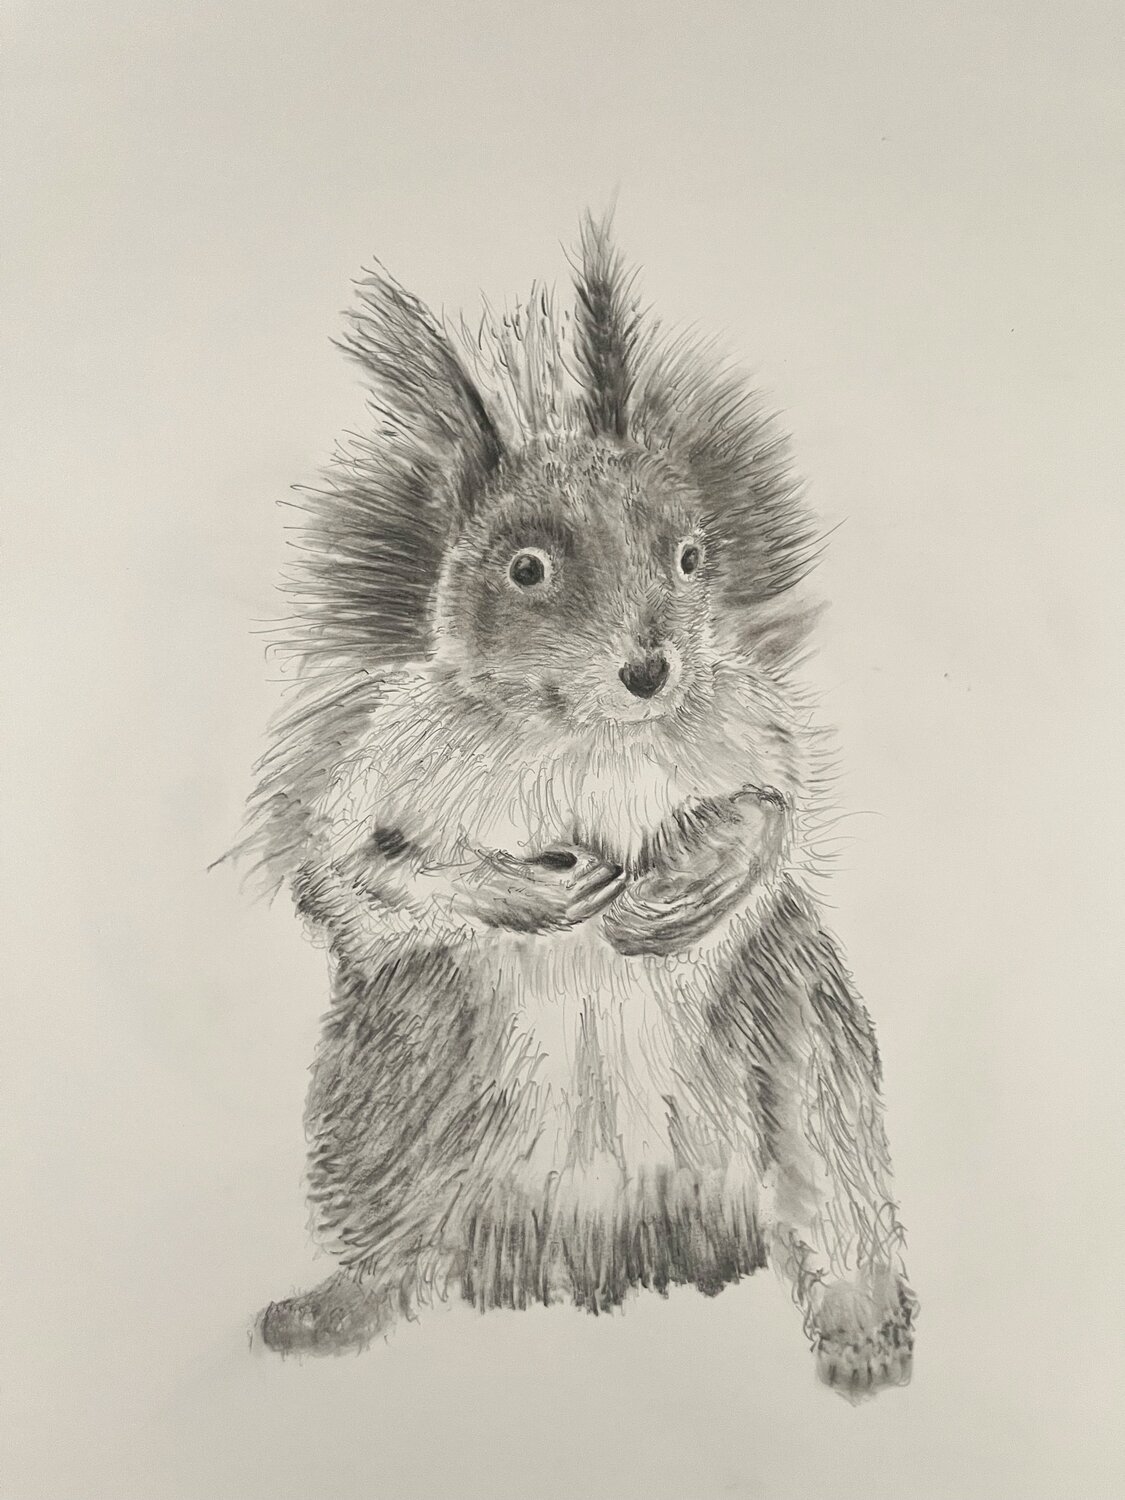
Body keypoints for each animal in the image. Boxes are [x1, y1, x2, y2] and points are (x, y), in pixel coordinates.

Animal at [234, 214, 918, 1400]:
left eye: (691, 556)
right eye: (526, 569)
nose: (649, 669)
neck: (585, 734)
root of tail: (603, 1255)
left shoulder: (747, 726)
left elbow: (780, 812)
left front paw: (709, 874)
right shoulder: (380, 765)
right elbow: (350, 880)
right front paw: (518, 892)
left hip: (803, 1054)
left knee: (828, 1187)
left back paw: (862, 1320)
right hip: (397, 1073)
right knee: (397, 1238)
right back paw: (341, 1305)